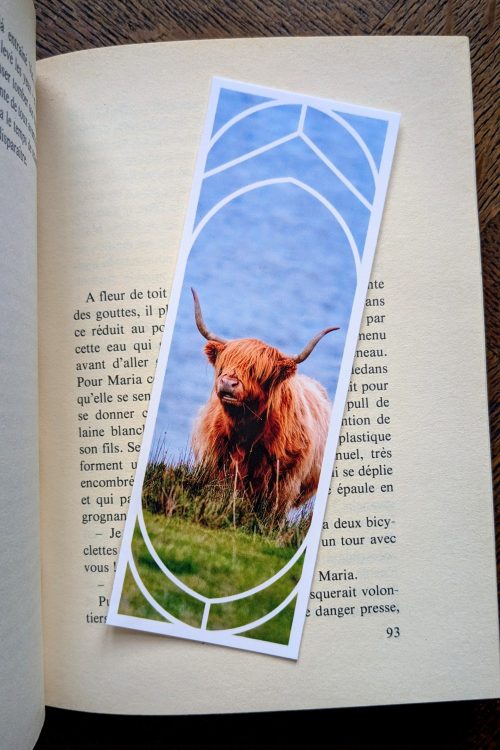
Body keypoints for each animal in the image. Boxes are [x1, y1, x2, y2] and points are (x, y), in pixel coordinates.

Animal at [190, 288, 339, 516]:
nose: (228, 383)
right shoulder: (214, 461)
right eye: (225, 363)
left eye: (258, 372)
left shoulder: (284, 482)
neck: (245, 434)